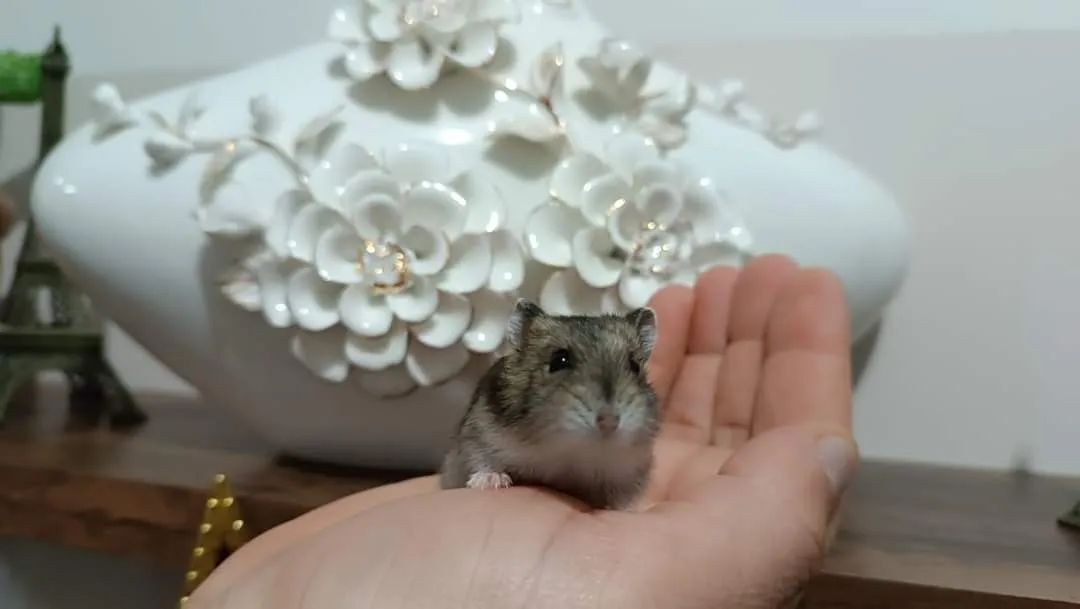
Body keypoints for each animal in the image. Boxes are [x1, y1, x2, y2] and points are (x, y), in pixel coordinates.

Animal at [439, 299, 660, 510]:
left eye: (634, 365)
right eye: (559, 360)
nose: (609, 423)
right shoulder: (475, 435)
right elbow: (481, 462)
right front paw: (490, 482)